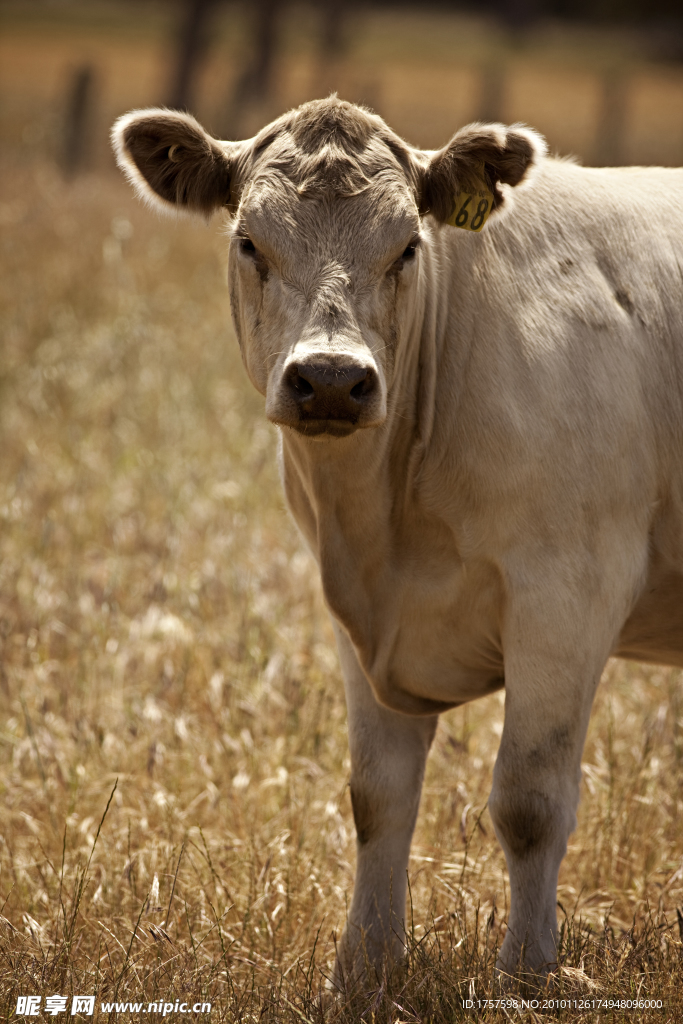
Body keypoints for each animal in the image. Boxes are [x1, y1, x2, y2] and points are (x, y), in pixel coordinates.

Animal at [112, 99, 683, 987]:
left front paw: (524, 973)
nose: (330, 380)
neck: (388, 524)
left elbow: (527, 800)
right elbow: (377, 797)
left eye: (407, 245)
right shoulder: (357, 616)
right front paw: (365, 967)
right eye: (249, 242)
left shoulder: (568, 592)